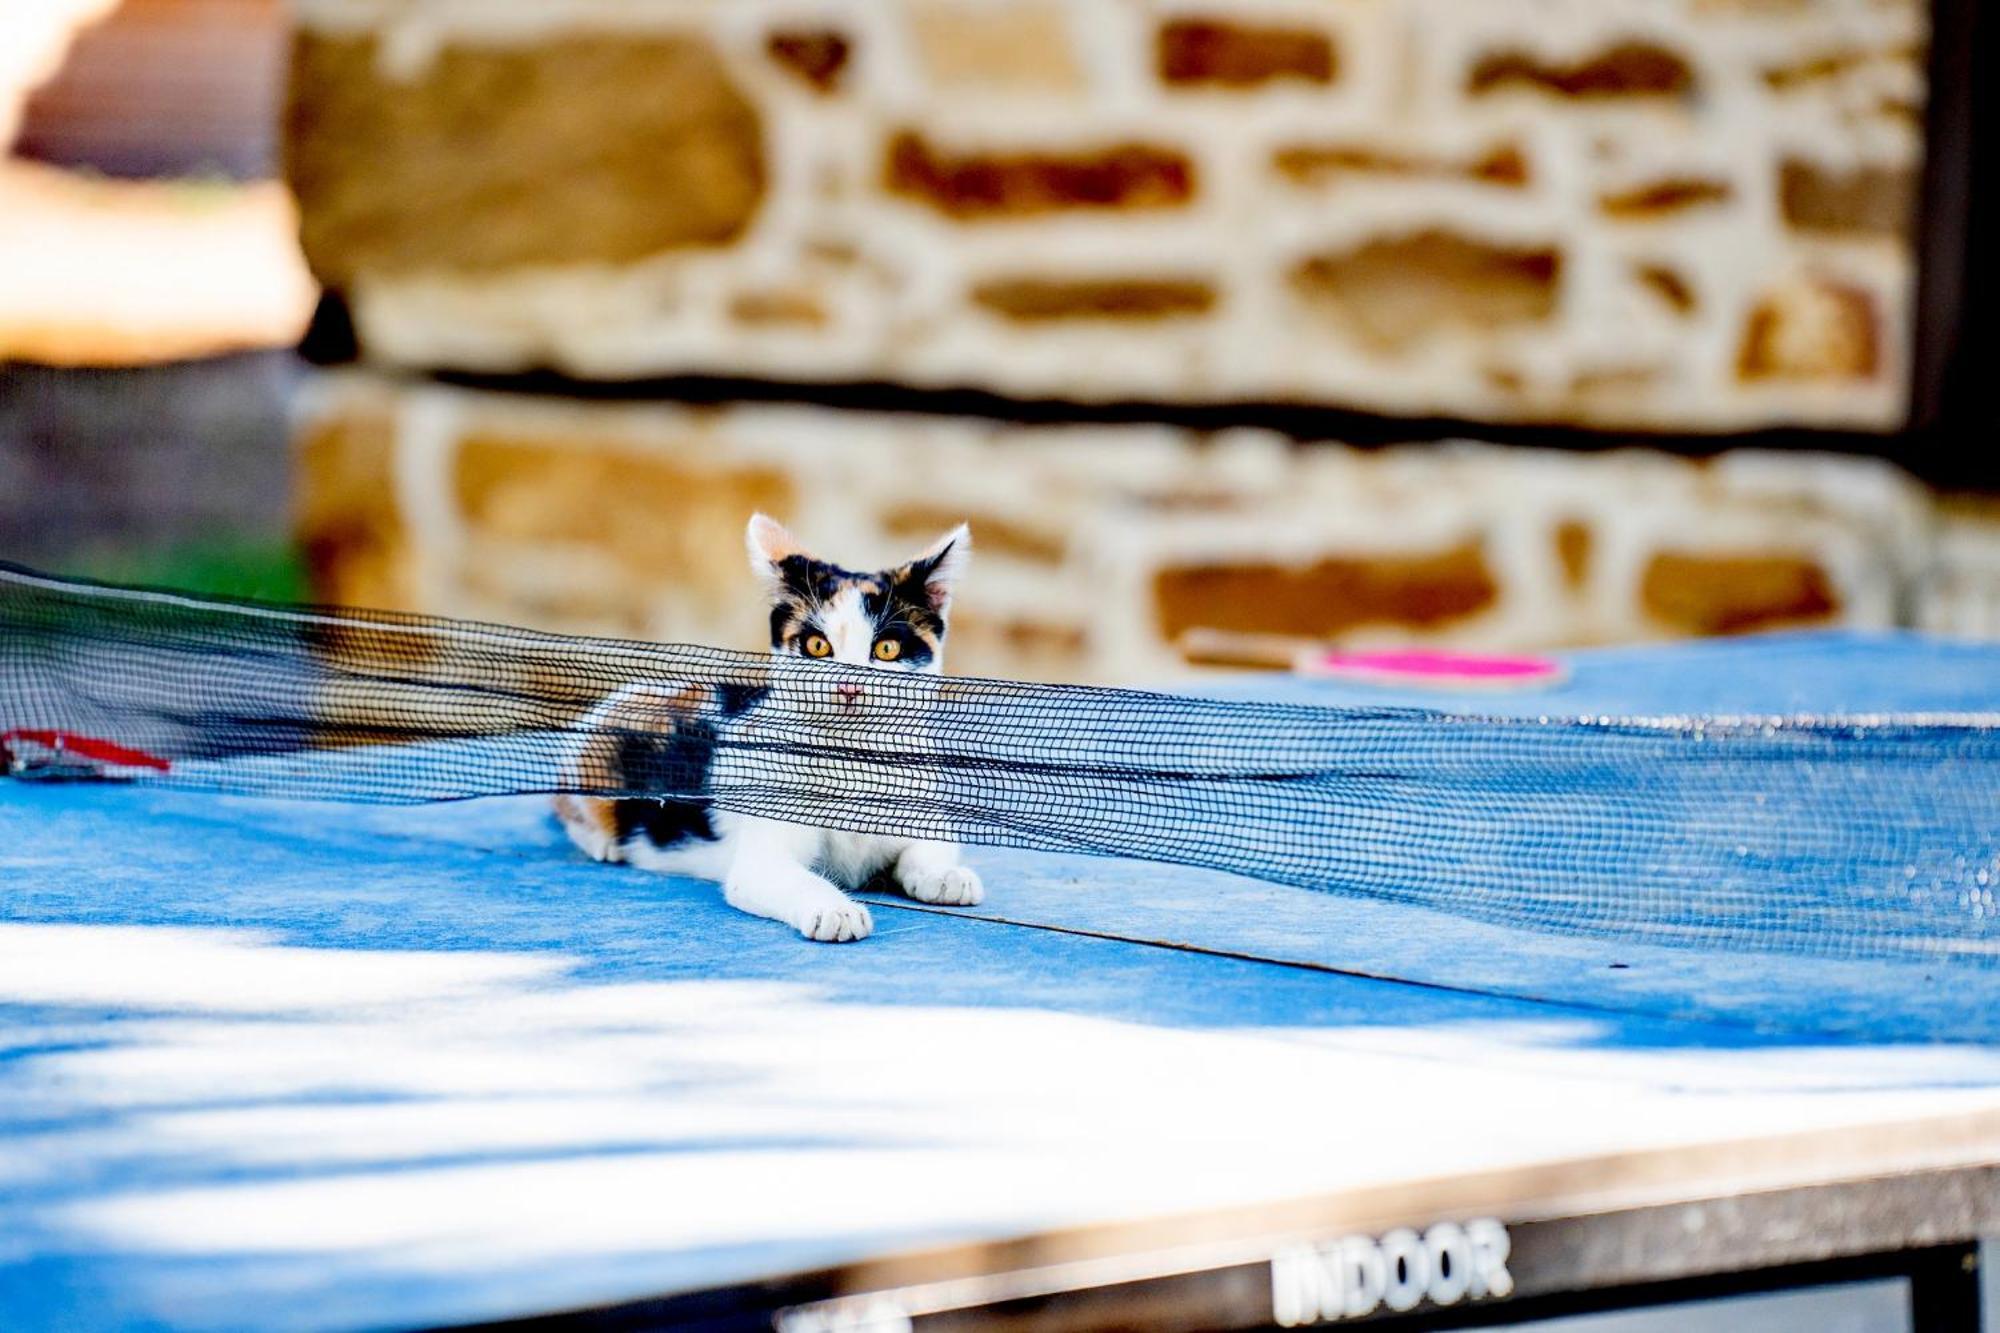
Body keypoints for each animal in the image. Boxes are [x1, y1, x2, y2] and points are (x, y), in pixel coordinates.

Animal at [552, 512, 980, 940]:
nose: (849, 685)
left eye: (887, 649)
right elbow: (792, 877)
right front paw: (835, 909)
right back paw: (604, 842)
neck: (852, 761)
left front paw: (945, 875)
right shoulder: (760, 860)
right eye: (817, 646)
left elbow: (928, 847)